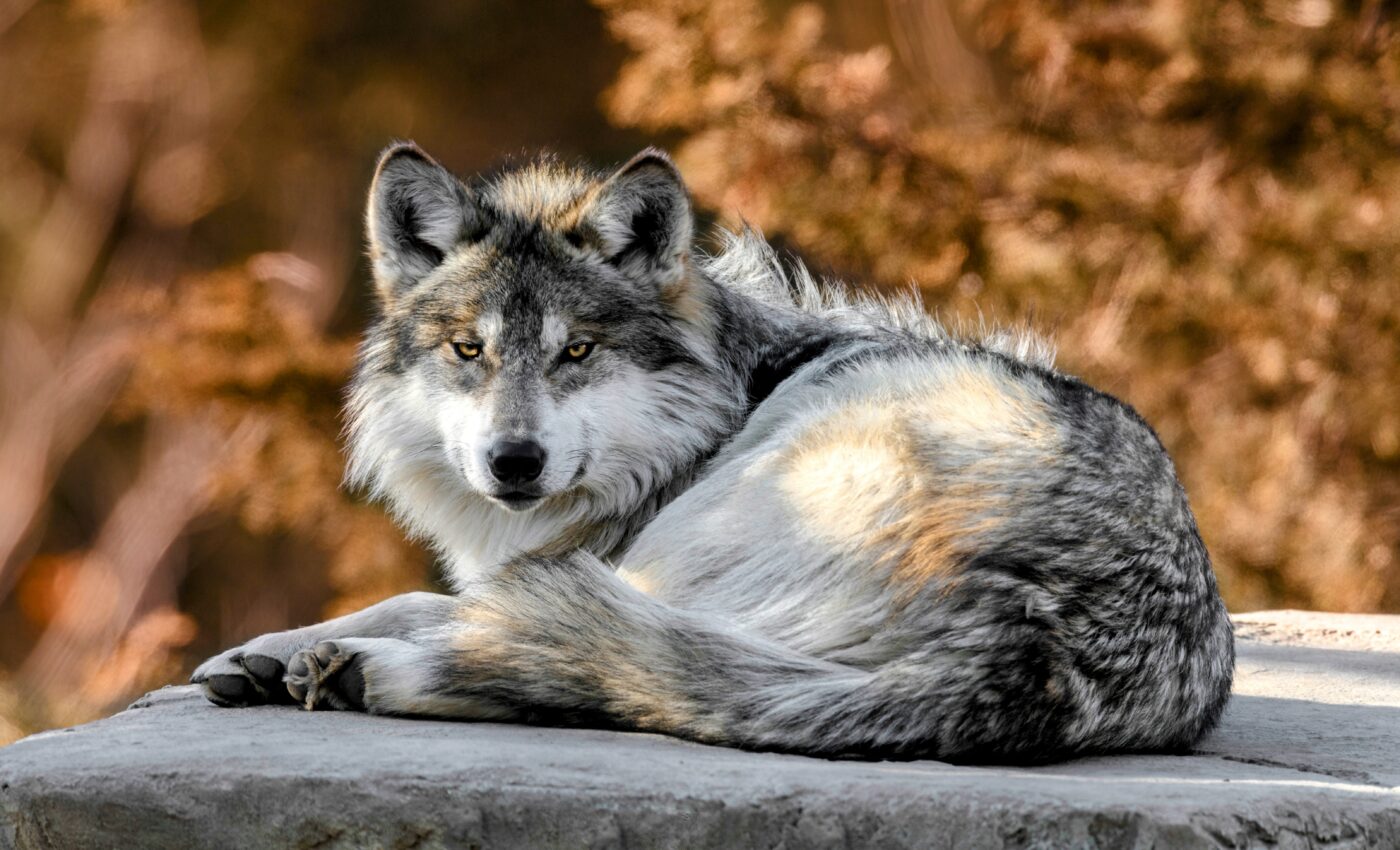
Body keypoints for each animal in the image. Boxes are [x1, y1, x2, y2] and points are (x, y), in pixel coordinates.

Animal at [191, 143, 1234, 761]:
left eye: (579, 351)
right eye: (468, 351)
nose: (513, 463)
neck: (717, 411)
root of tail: (1045, 648)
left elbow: (431, 599)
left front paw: (303, 648)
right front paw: (262, 655)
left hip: (713, 538)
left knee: (585, 656)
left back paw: (366, 669)